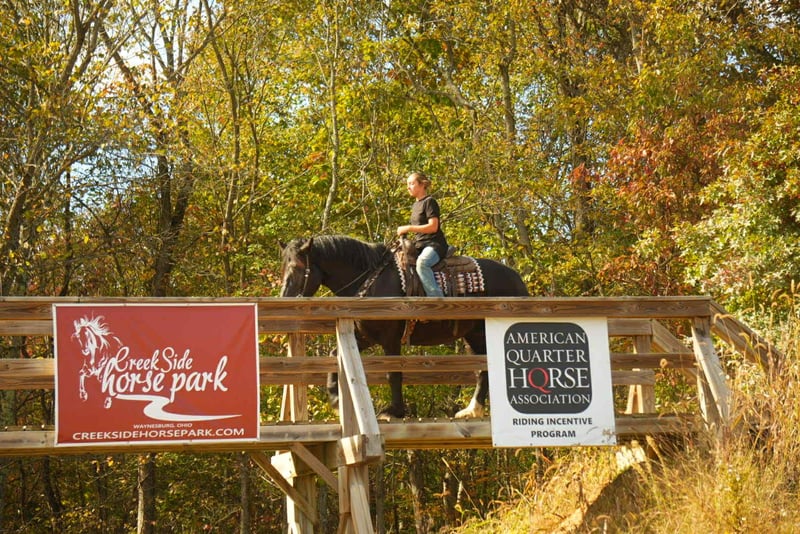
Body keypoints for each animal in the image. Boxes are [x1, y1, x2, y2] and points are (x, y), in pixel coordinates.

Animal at [279, 235, 529, 419]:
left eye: (298, 266)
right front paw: (336, 399)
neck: (372, 280)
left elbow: (393, 373)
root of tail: (516, 278)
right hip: (475, 335)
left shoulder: (390, 338)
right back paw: (471, 411)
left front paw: (394, 412)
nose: (284, 298)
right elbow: (334, 354)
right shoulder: (365, 336)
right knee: (483, 369)